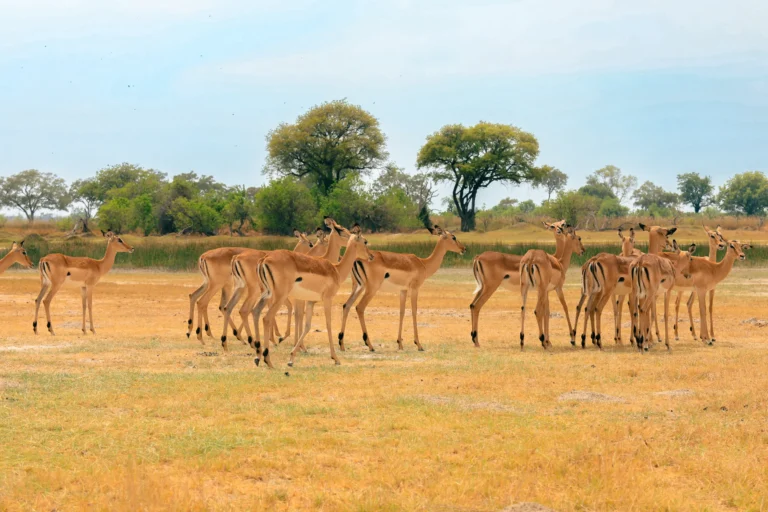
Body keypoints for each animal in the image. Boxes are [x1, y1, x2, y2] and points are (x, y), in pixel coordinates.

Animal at [188, 230, 316, 344]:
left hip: (213, 284)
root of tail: (203, 256)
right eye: (310, 243)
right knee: (205, 302)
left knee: (197, 297)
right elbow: (284, 307)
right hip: (219, 285)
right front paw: (276, 336)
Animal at [220, 218, 351, 350]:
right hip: (257, 291)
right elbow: (297, 314)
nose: (341, 256)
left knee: (230, 308)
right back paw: (252, 342)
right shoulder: (295, 297)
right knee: (245, 310)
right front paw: (295, 344)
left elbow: (295, 313)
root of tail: (236, 257)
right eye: (342, 230)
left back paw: (236, 340)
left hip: (243, 289)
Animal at [254, 224, 374, 368]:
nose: (371, 256)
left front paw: (291, 358)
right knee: (266, 318)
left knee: (255, 312)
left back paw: (258, 357)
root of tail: (265, 259)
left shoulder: (311, 302)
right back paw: (268, 360)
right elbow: (328, 324)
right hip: (279, 297)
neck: (336, 270)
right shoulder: (327, 299)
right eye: (365, 241)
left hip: (266, 295)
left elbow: (307, 325)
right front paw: (336, 358)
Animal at [338, 225, 466, 353]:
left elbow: (402, 312)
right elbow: (414, 311)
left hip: (358, 287)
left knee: (346, 305)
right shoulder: (415, 289)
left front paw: (400, 343)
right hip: (371, 289)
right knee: (359, 307)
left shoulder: (403, 290)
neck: (423, 264)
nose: (463, 249)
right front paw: (418, 344)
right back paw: (370, 345)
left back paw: (342, 344)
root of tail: (357, 259)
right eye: (453, 237)